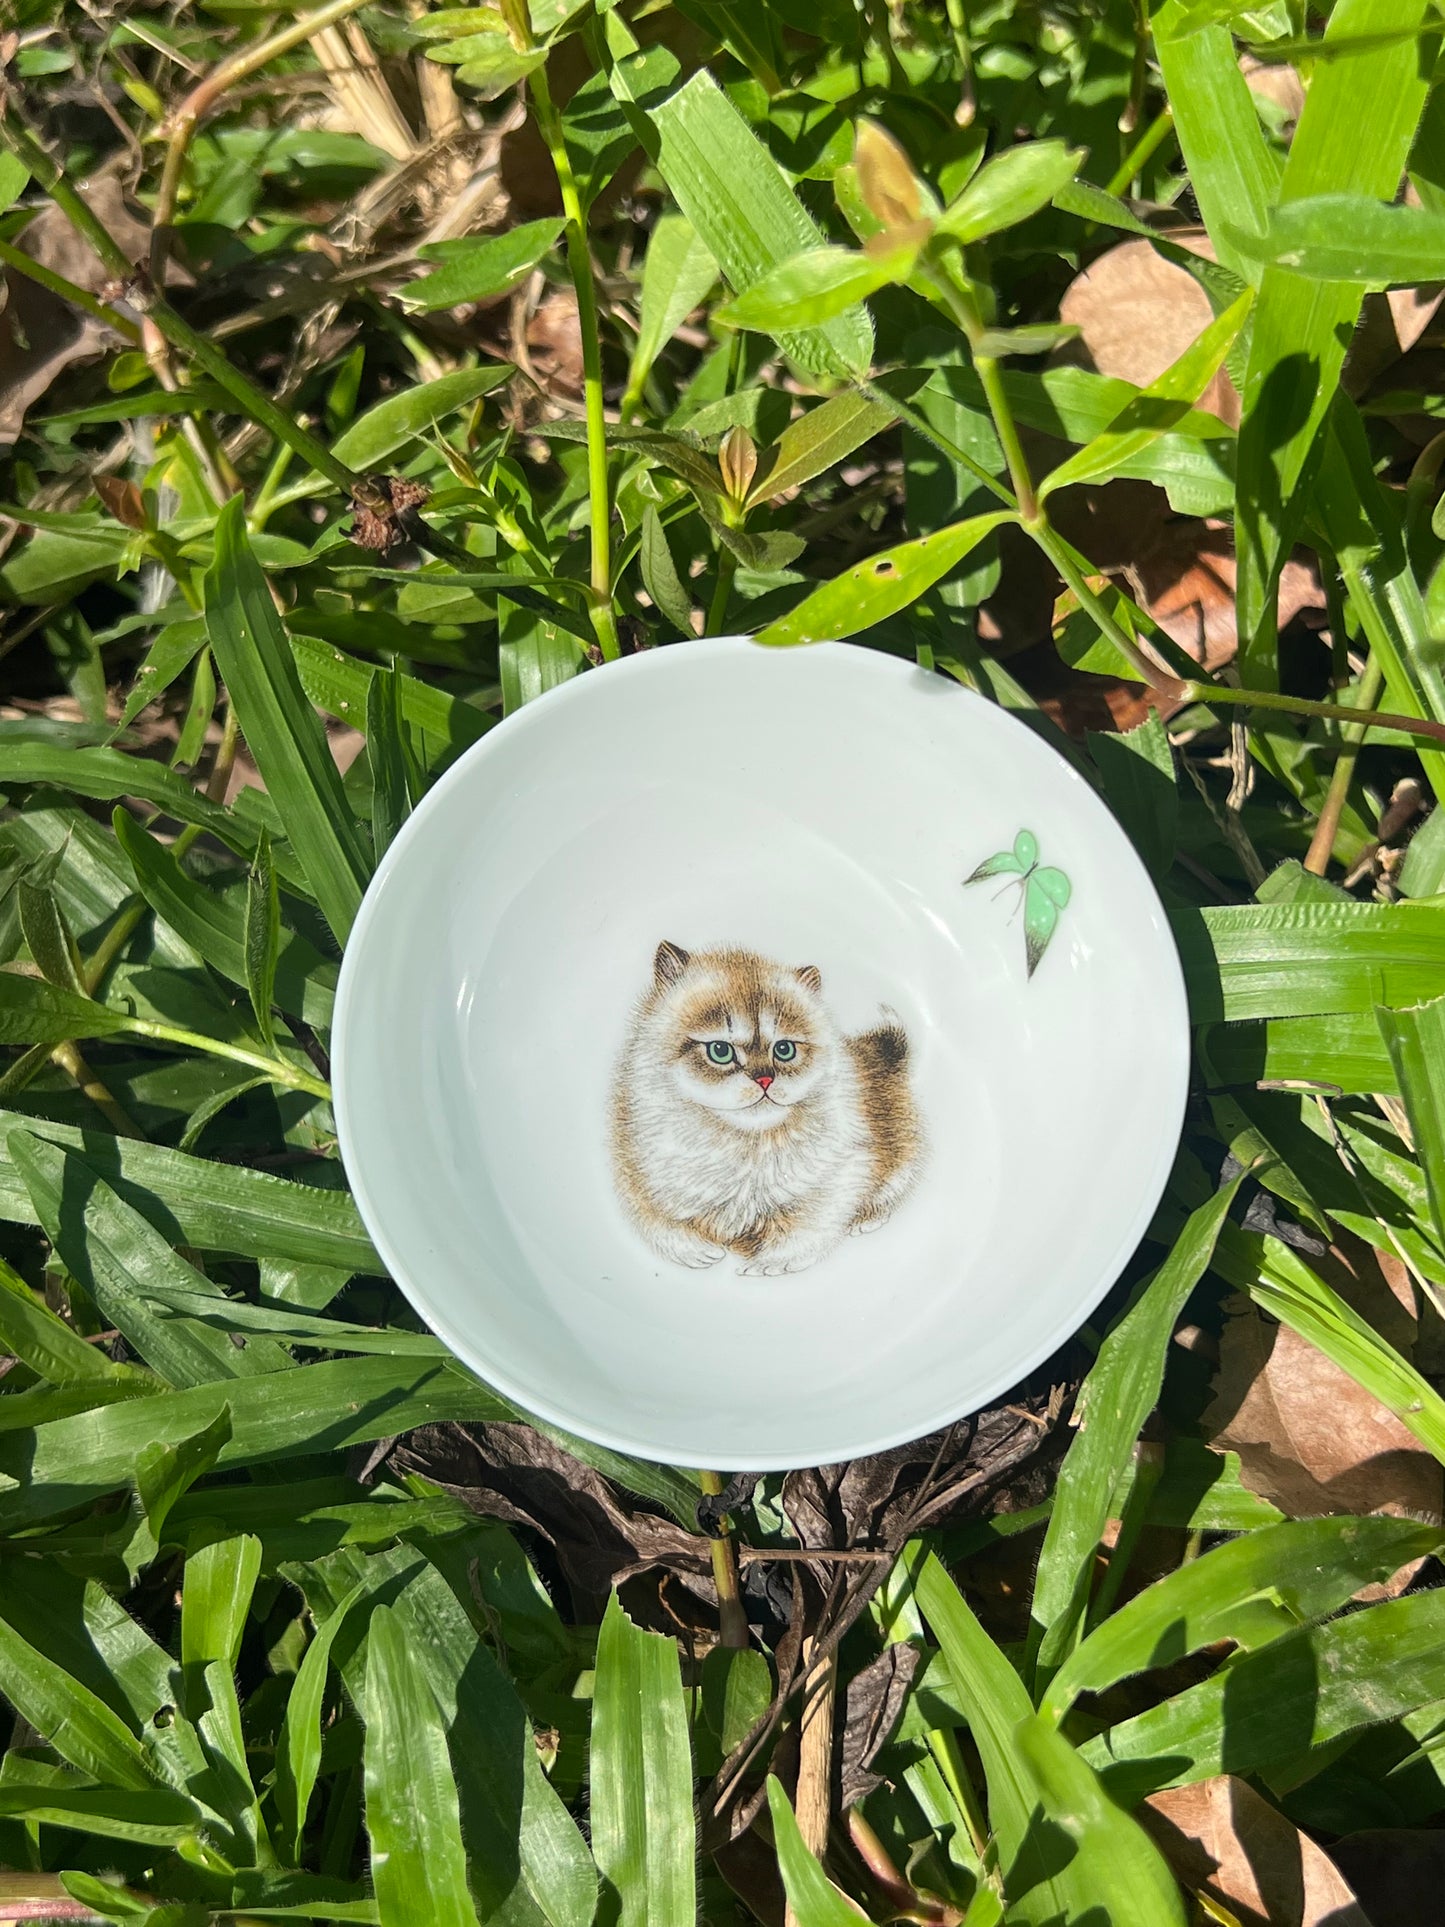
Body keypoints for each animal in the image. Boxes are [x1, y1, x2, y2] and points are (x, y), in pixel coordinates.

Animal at [612, 940, 928, 1271]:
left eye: (784, 1049)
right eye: (720, 1051)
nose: (765, 1080)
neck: (743, 1145)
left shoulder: (845, 1174)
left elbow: (800, 1231)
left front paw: (769, 1265)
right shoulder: (634, 1171)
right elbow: (660, 1222)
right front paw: (695, 1252)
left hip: (901, 1158)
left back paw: (865, 1222)